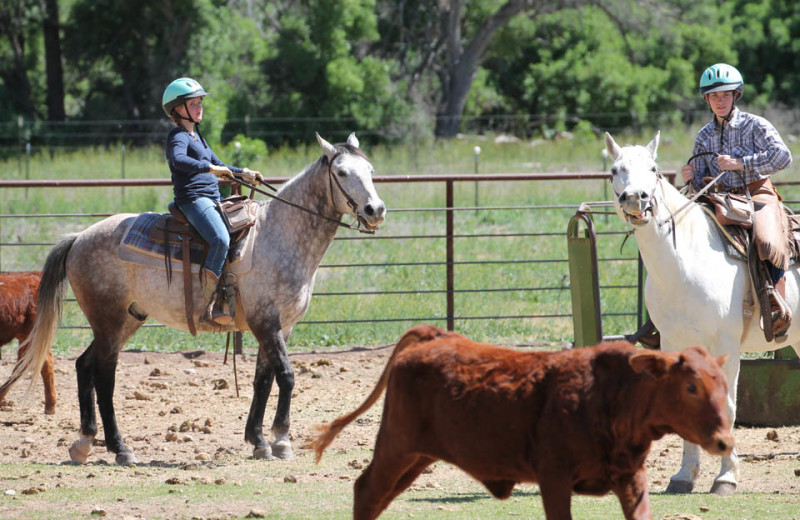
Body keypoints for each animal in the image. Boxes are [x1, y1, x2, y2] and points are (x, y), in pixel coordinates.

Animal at [7, 132, 388, 466]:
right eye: (342, 172)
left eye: (370, 170)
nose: (376, 209)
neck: (278, 235)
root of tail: (79, 238)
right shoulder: (266, 321)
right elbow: (287, 375)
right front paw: (281, 440)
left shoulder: (280, 326)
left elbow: (263, 379)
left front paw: (258, 440)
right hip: (109, 321)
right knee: (104, 377)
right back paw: (120, 449)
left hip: (126, 320)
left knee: (85, 366)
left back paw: (84, 444)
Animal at [310, 324, 732, 520]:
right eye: (691, 386)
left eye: (723, 385)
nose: (725, 441)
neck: (610, 394)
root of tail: (435, 335)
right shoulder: (554, 478)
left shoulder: (631, 478)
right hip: (396, 446)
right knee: (367, 491)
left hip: (415, 457)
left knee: (378, 496)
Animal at [608, 131, 800, 496]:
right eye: (614, 170)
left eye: (653, 169)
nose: (635, 199)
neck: (685, 263)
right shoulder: (673, 345)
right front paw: (683, 476)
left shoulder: (727, 346)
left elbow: (727, 406)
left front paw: (726, 478)